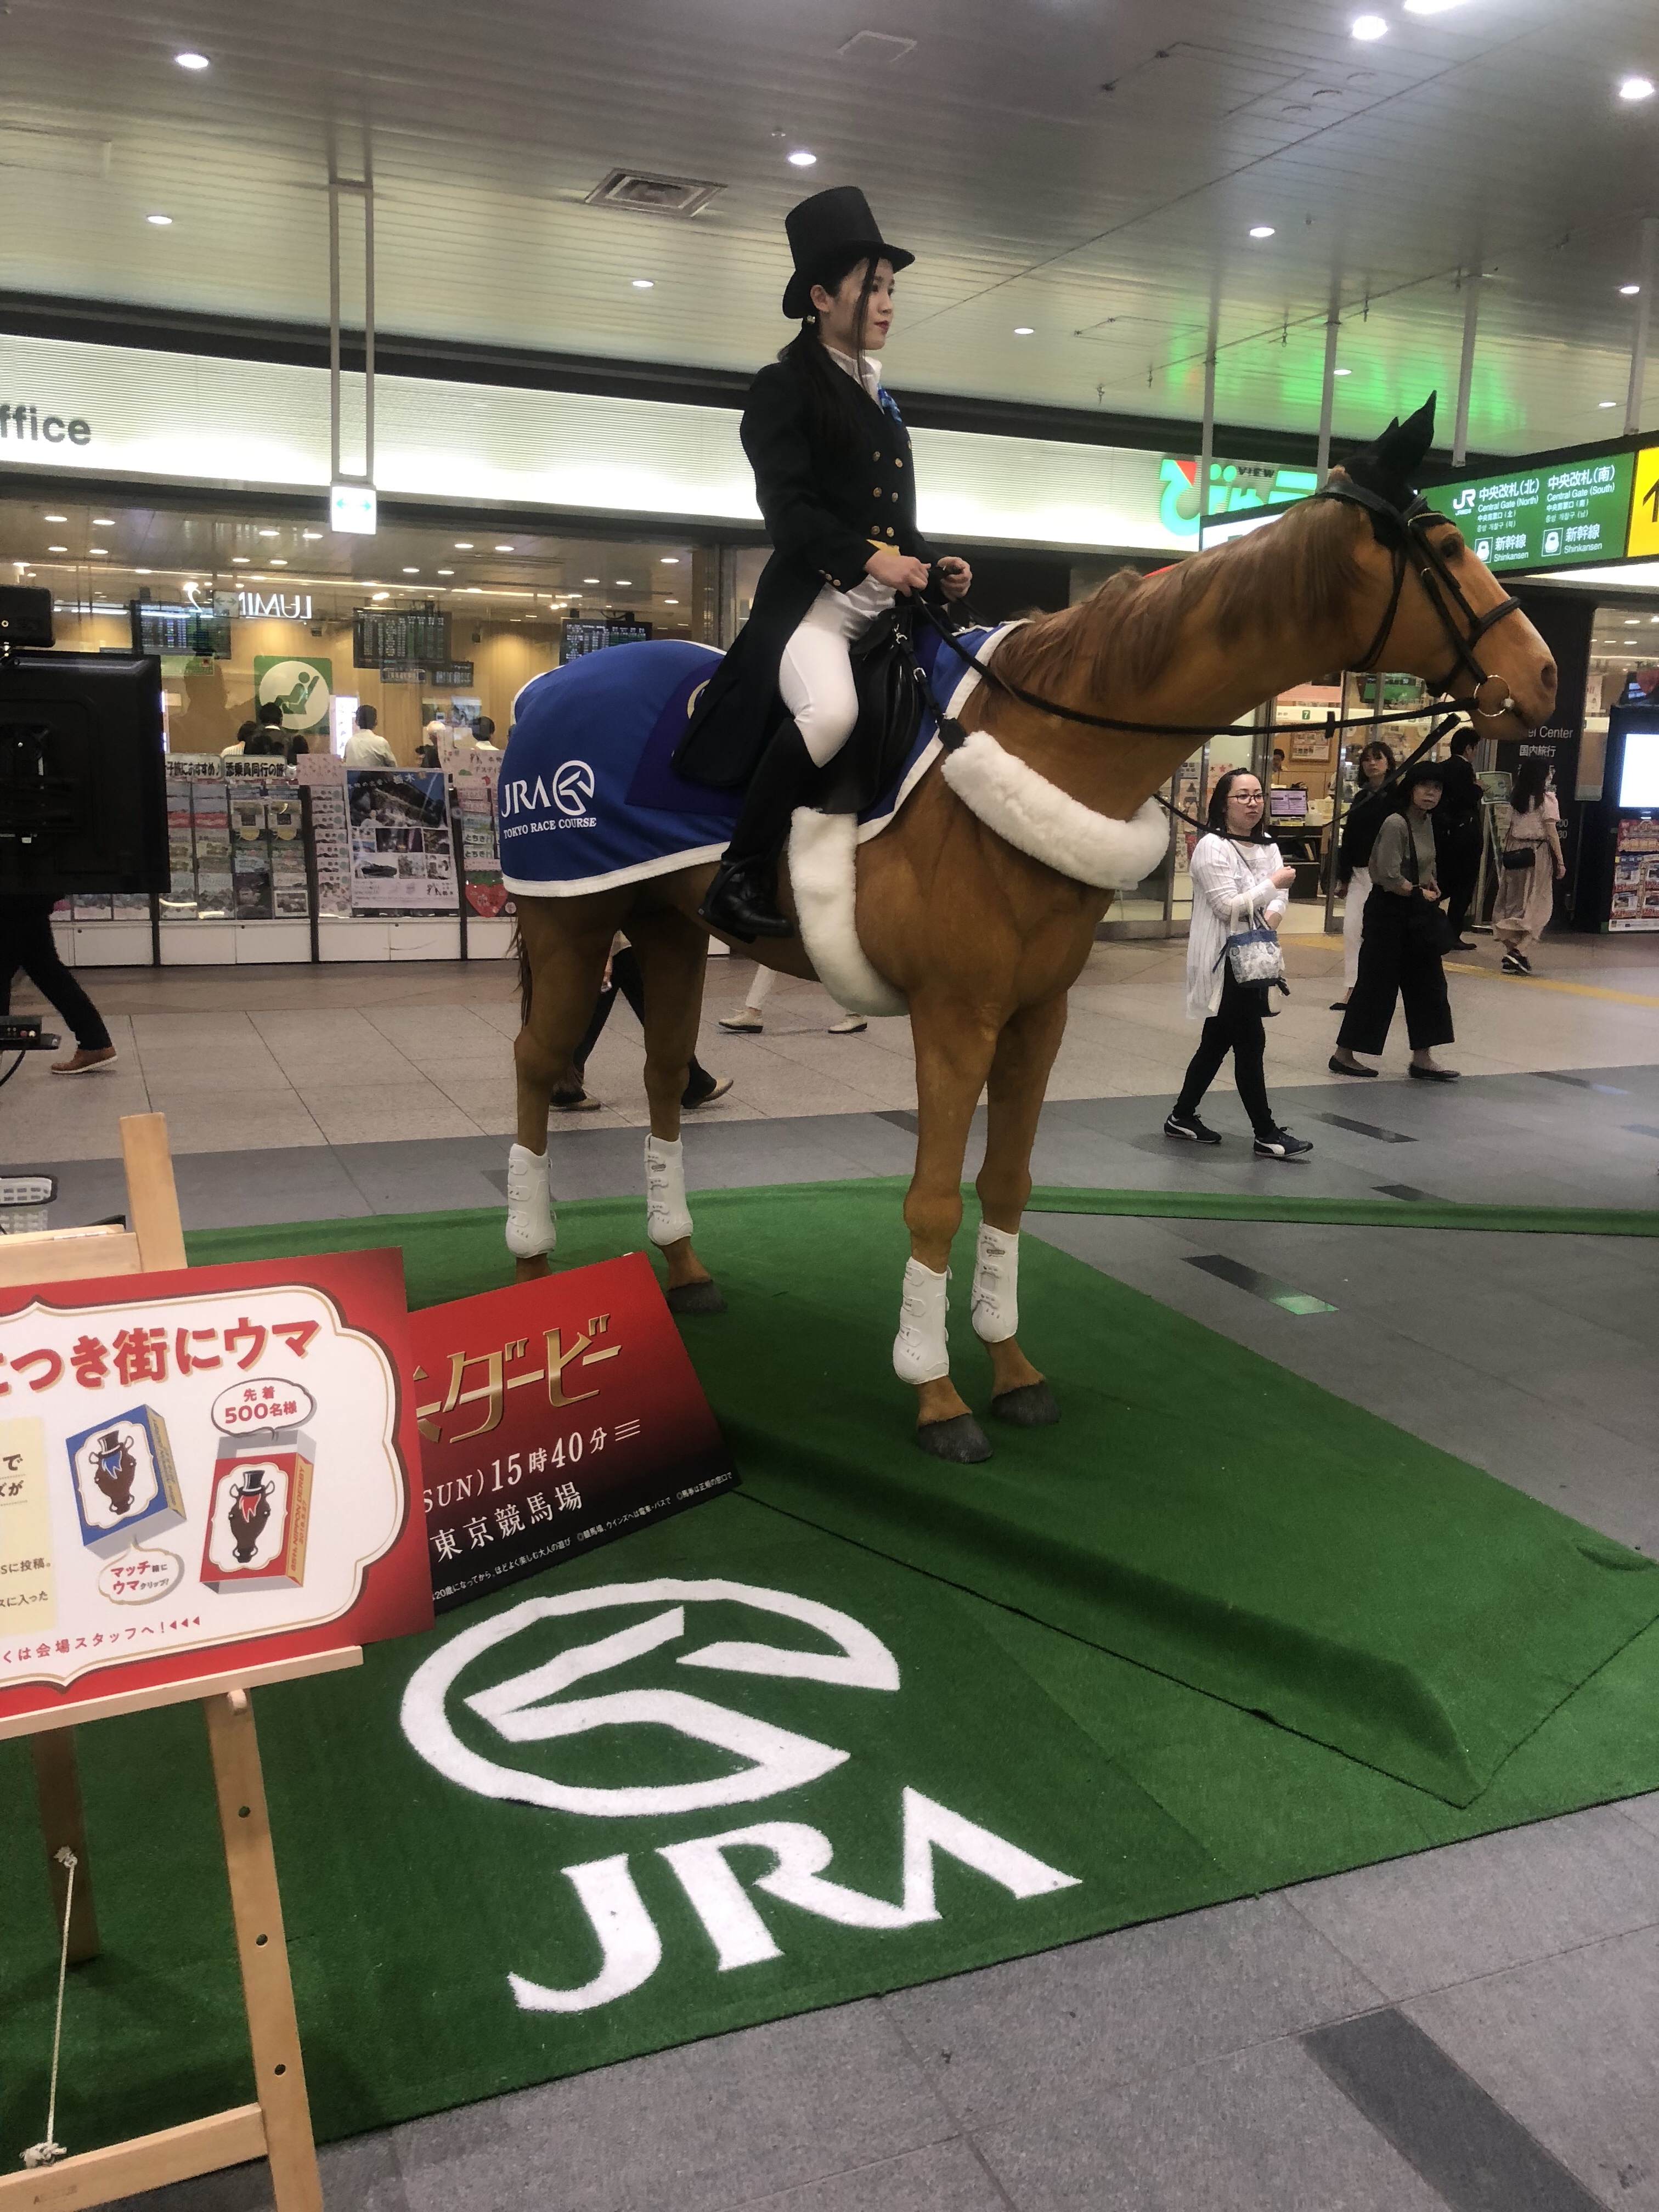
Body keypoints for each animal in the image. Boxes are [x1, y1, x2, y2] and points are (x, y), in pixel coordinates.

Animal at [506, 416, 1557, 1460]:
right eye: (1448, 547)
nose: (1545, 675)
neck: (1038, 743)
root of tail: (546, 689)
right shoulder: (955, 1017)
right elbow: (933, 1198)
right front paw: (935, 1392)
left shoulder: (1034, 1016)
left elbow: (1006, 1185)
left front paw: (1009, 1368)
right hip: (572, 921)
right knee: (536, 1061)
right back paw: (529, 1271)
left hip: (667, 926)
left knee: (661, 1077)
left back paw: (682, 1266)